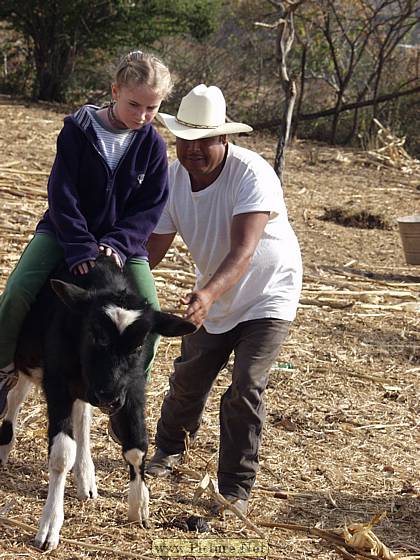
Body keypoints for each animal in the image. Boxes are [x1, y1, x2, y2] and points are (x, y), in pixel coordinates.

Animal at [0, 258, 195, 552]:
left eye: (139, 344)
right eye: (95, 334)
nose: (108, 397)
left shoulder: (132, 388)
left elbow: (137, 446)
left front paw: (139, 505)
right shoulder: (57, 383)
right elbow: (61, 454)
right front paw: (50, 525)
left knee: (82, 416)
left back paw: (86, 477)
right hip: (26, 361)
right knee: (14, 399)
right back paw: (4, 448)